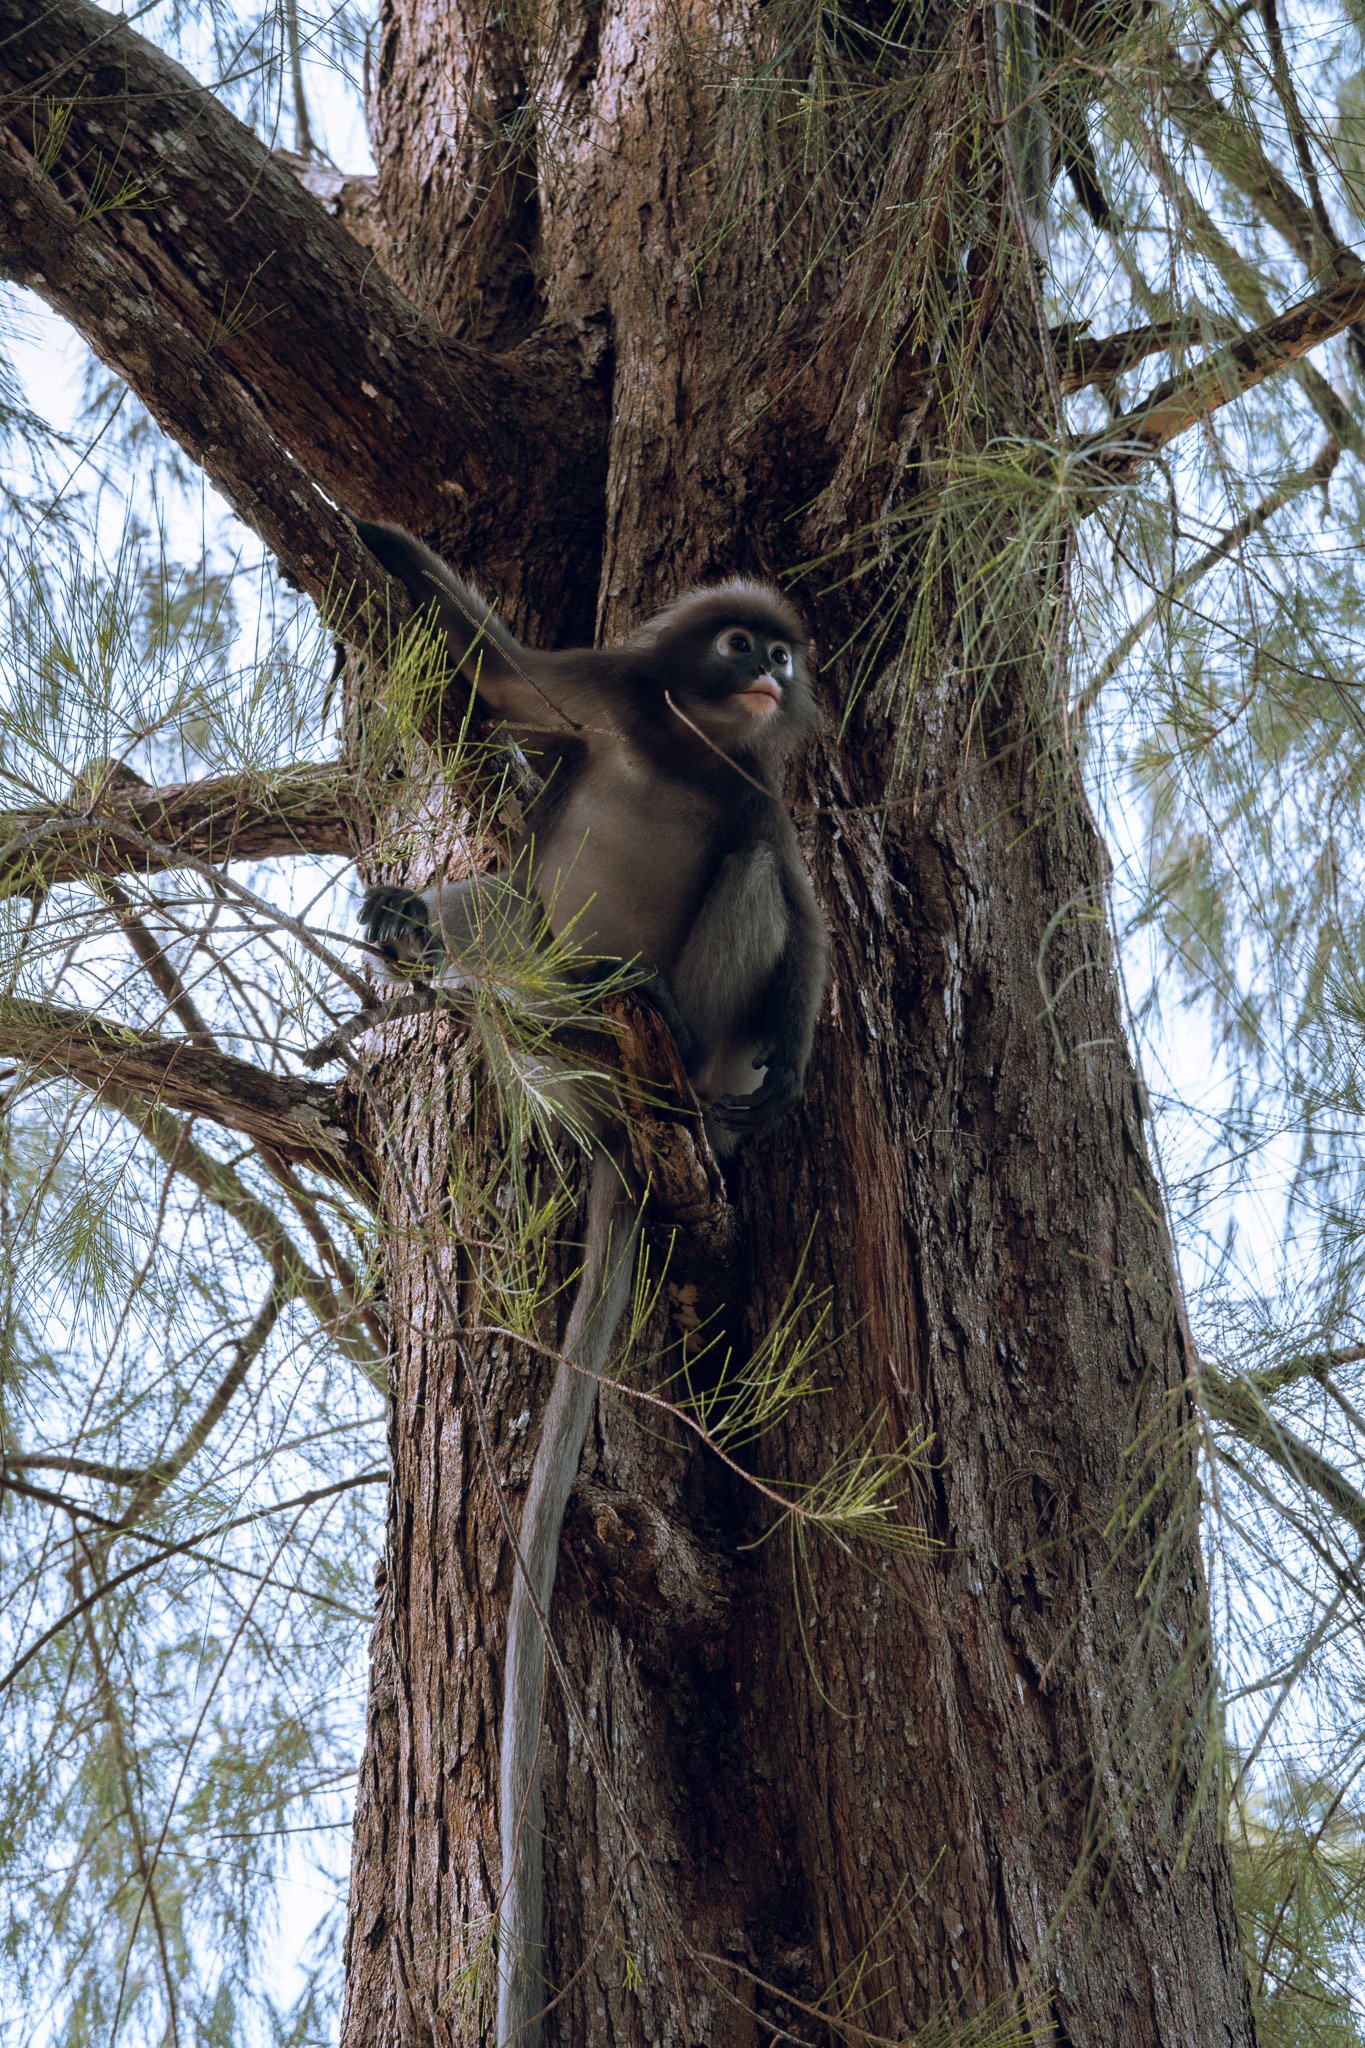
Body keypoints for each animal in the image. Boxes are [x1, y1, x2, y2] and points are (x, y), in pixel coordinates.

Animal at [351, 519, 827, 2048]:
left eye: (782, 652)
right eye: (743, 642)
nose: (775, 662)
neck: (686, 743)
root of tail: (625, 1111)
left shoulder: (752, 786)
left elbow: (790, 884)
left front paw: (788, 1078)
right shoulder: (610, 696)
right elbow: (504, 677)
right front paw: (377, 536)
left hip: (687, 1018)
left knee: (747, 886)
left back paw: (675, 1026)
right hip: (540, 977)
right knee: (495, 912)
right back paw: (429, 940)